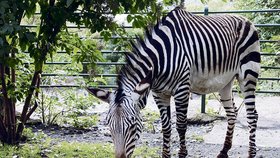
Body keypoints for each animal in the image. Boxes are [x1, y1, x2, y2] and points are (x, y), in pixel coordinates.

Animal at [87, 7, 260, 158]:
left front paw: (182, 154)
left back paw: (251, 153)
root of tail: (244, 18)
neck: (159, 61)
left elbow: (181, 125)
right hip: (225, 82)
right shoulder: (159, 94)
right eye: (109, 126)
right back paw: (224, 151)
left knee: (252, 114)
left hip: (248, 74)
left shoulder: (182, 89)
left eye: (132, 126)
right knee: (232, 113)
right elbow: (166, 128)